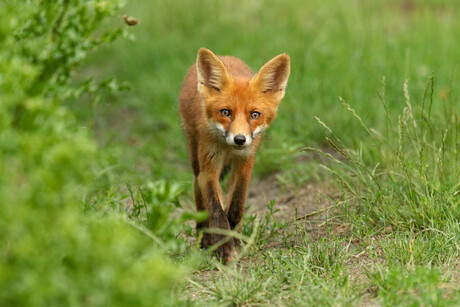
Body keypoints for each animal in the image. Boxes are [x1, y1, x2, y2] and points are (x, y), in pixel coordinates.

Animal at [179, 48, 290, 262]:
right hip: (196, 161)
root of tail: (225, 56)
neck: (228, 148)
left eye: (254, 115)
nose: (239, 139)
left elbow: (236, 206)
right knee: (199, 195)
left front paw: (234, 241)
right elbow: (216, 210)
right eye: (225, 112)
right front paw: (223, 248)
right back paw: (204, 238)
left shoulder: (245, 164)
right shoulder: (209, 169)